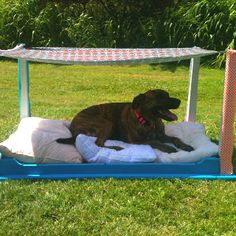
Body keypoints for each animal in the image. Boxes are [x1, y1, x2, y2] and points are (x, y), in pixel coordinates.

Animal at [56, 89, 194, 153]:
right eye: (160, 97)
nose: (179, 101)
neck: (150, 121)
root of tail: (72, 128)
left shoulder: (162, 136)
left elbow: (176, 138)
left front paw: (185, 146)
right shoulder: (137, 141)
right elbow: (153, 141)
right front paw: (167, 147)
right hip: (107, 123)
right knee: (98, 144)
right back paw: (116, 147)